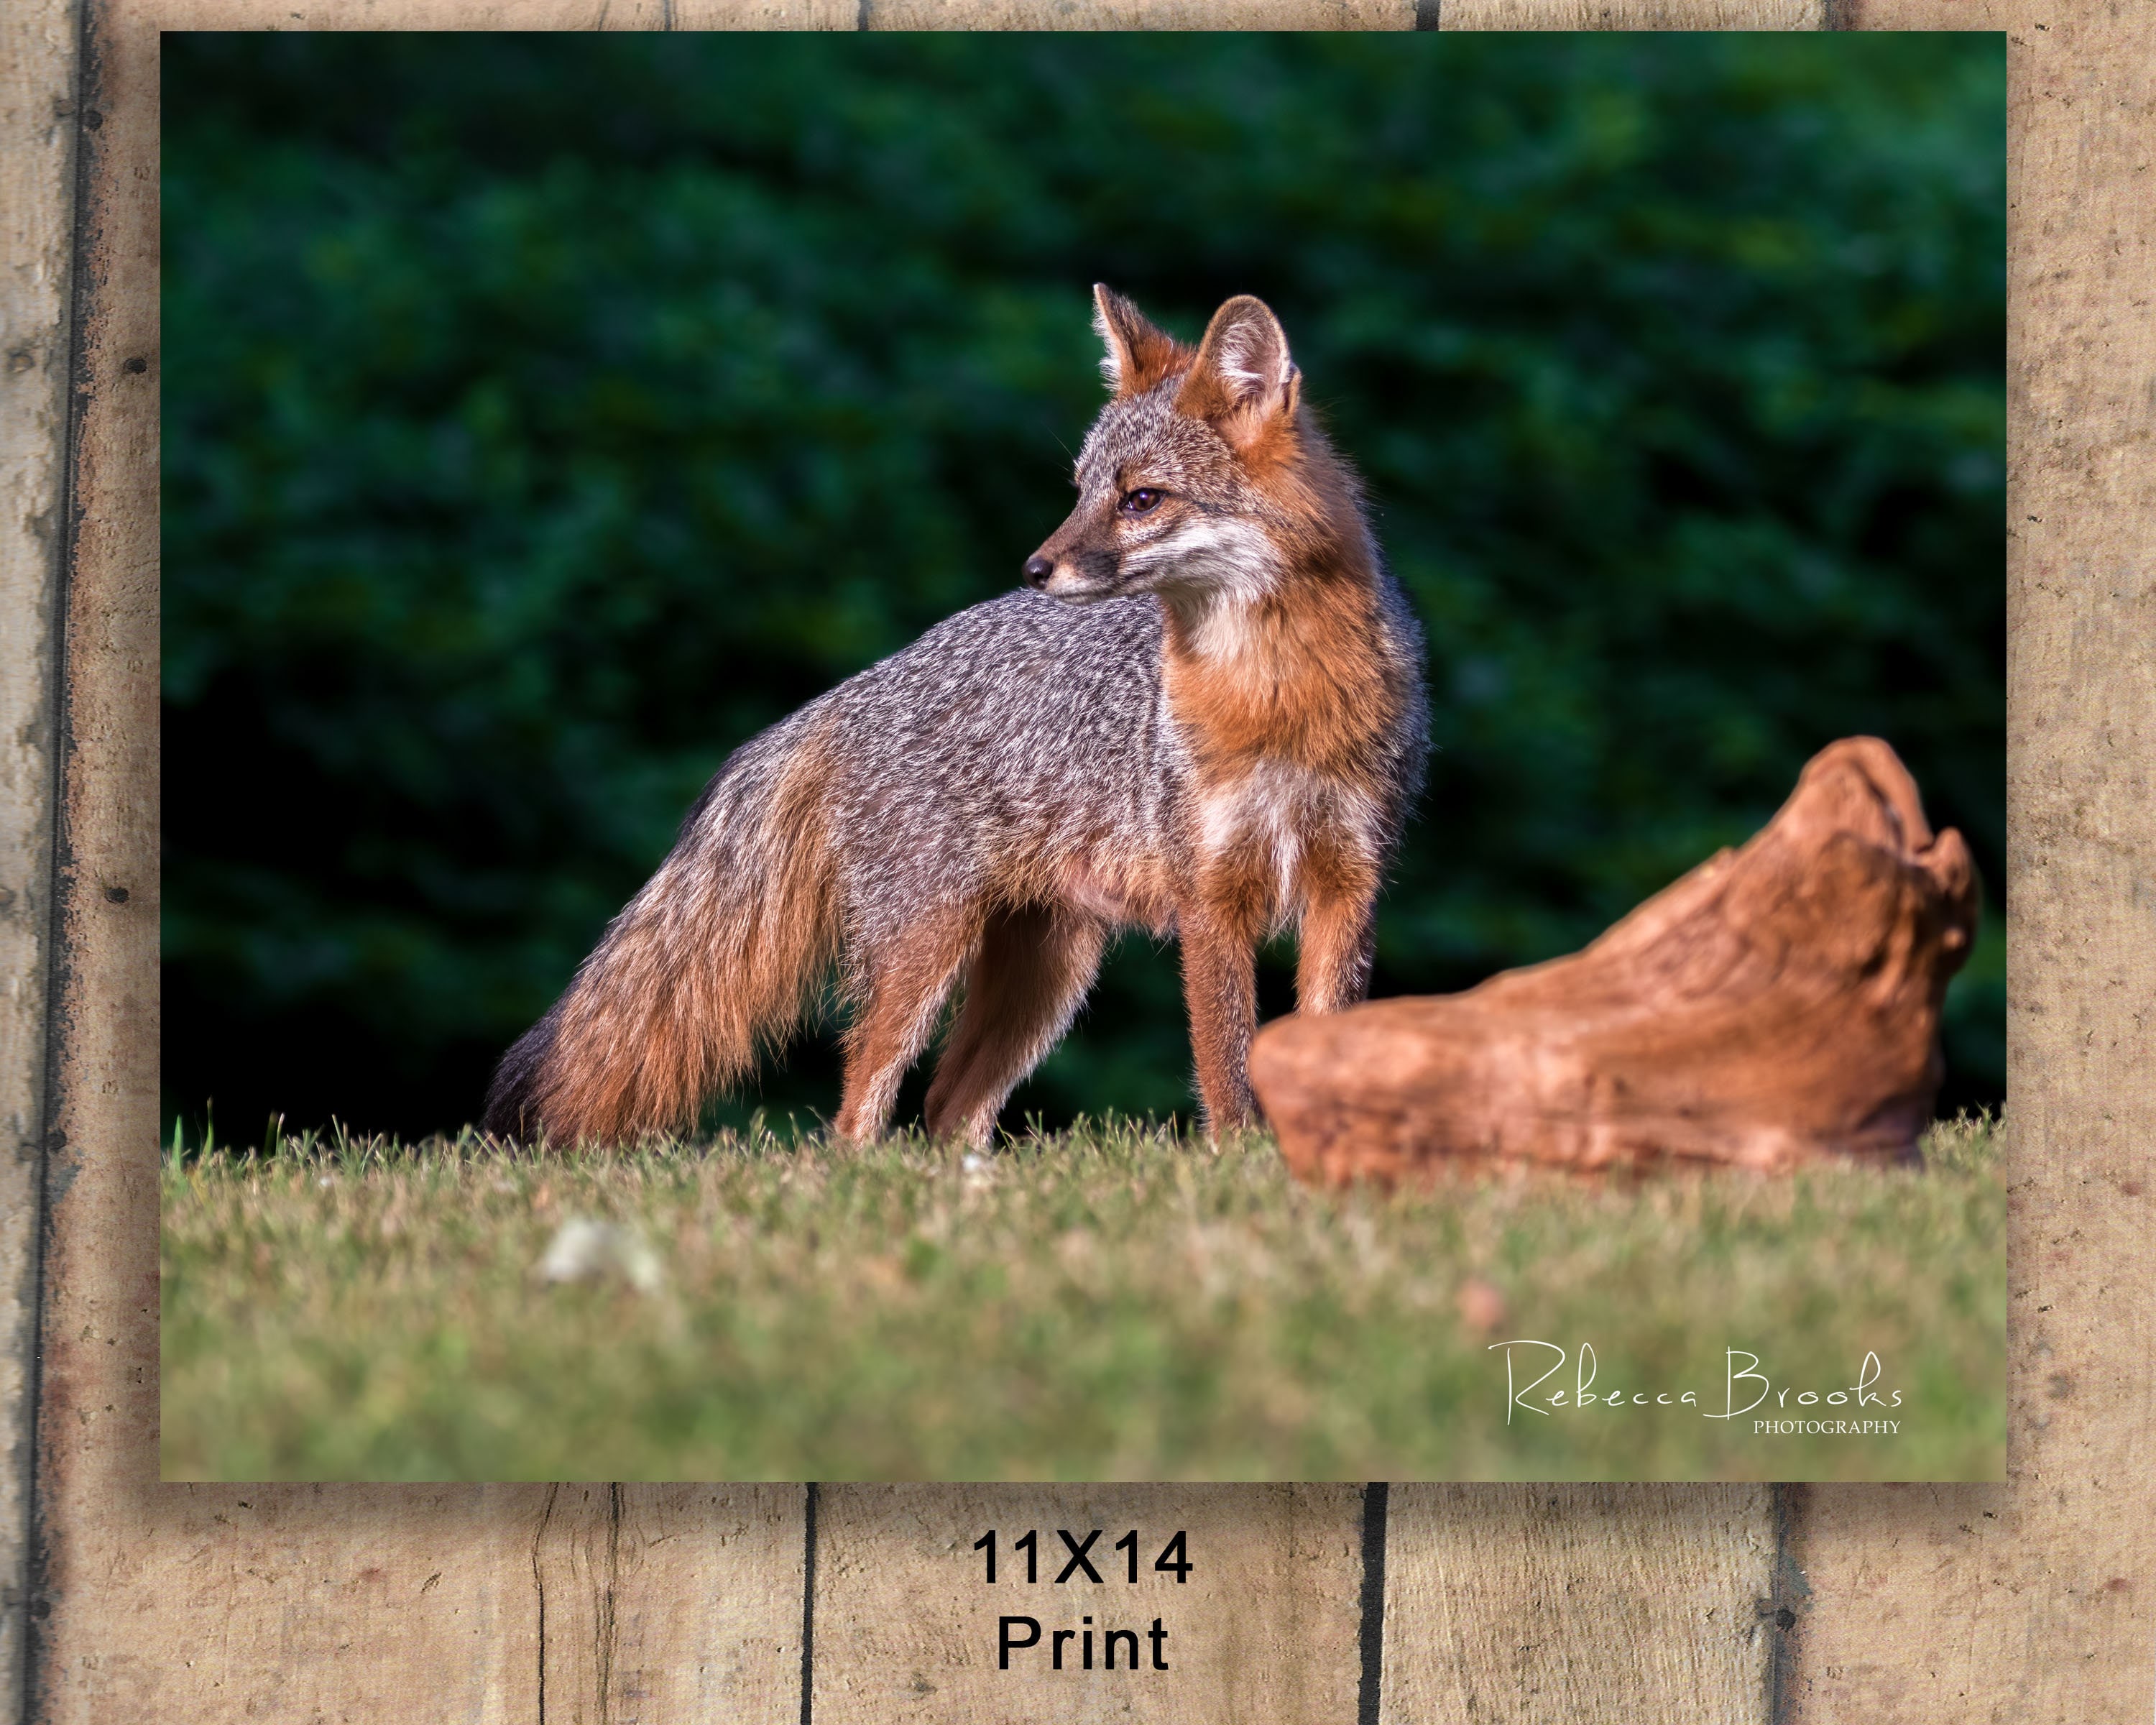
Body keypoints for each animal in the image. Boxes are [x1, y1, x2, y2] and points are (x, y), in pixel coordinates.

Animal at [483, 286, 1429, 1149]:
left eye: (1142, 500)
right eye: (1081, 492)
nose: (1034, 568)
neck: (1277, 695)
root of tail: (862, 683)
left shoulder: (1350, 883)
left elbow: (1326, 1041)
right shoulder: (1212, 899)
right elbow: (1226, 1065)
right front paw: (1244, 1166)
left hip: (1046, 975)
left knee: (947, 1109)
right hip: (929, 955)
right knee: (862, 1107)